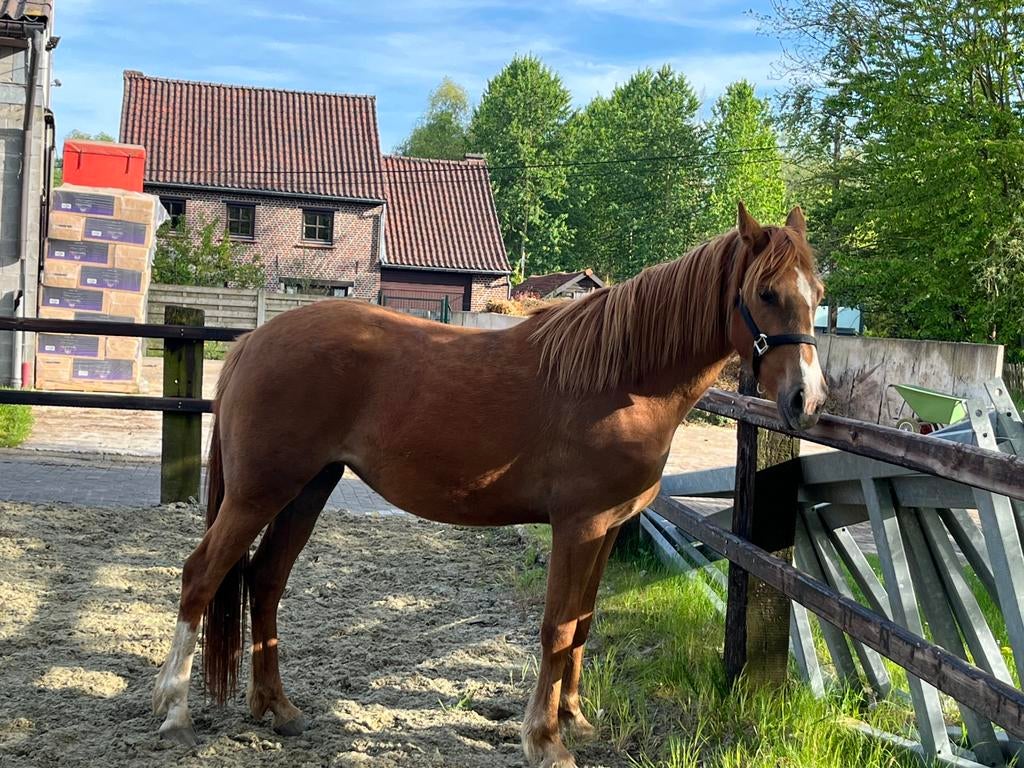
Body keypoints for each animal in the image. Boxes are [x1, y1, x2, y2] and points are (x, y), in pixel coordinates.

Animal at [152, 203, 827, 768]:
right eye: (765, 293)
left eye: (817, 295)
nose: (807, 400)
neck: (623, 380)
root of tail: (253, 340)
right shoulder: (578, 527)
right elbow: (558, 627)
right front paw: (545, 740)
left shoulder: (607, 529)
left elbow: (584, 623)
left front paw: (574, 719)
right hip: (258, 494)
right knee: (202, 575)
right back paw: (174, 714)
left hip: (307, 490)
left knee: (265, 581)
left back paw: (277, 709)